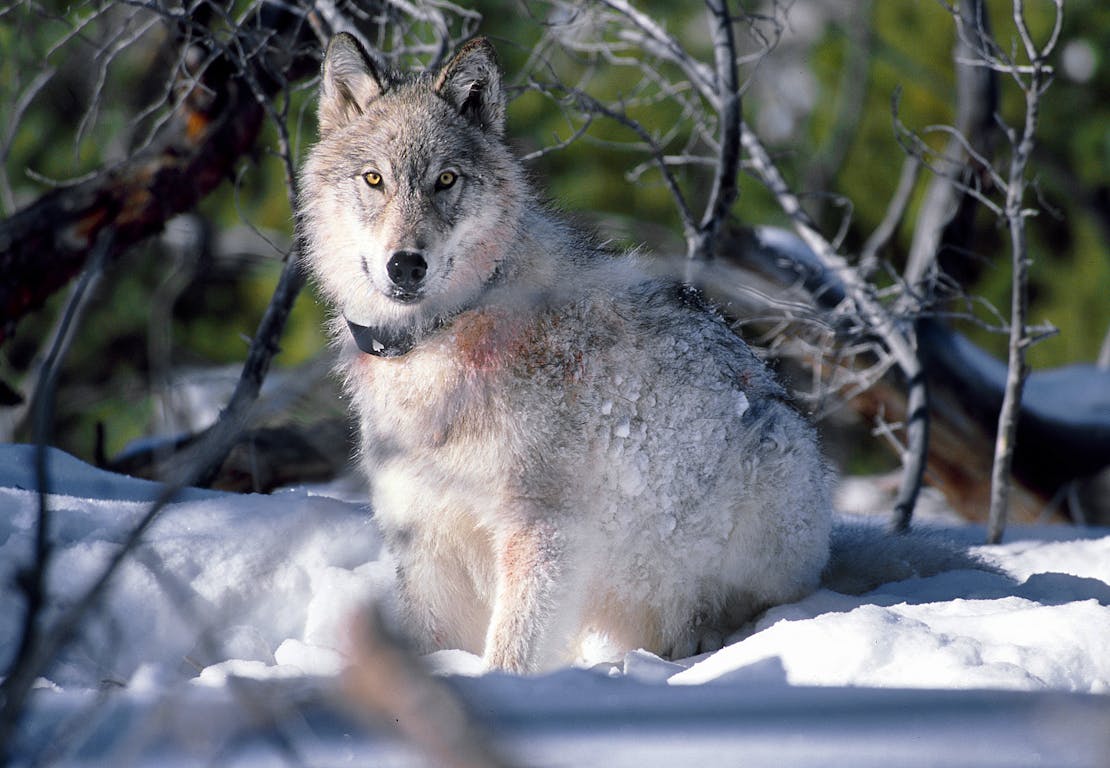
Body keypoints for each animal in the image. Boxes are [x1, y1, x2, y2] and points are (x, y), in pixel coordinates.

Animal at [298, 34, 972, 673]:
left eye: (445, 180)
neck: (439, 339)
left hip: (769, 462)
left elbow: (511, 654)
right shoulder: (427, 542)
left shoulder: (542, 534)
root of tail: (827, 547)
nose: (406, 265)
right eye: (374, 179)